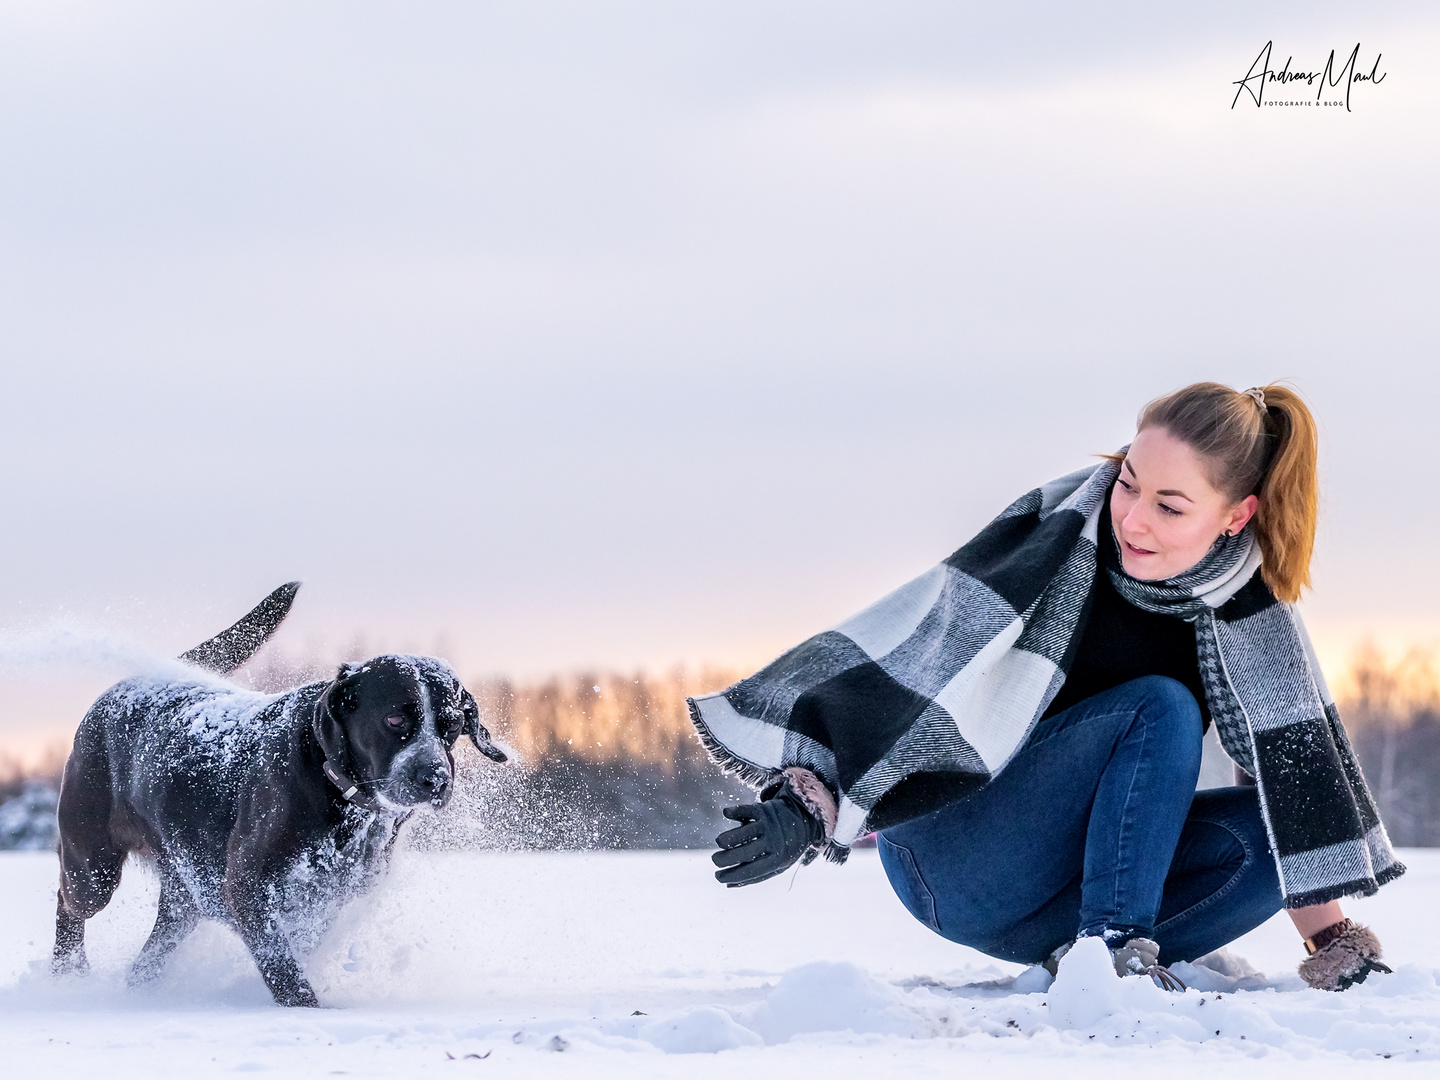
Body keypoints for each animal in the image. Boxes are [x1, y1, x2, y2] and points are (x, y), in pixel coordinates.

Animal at [52, 587, 506, 1013]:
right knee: (68, 903)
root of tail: (126, 685)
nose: (435, 778)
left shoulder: (331, 899)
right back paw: (67, 974)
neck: (335, 786)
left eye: (452, 725)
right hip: (92, 868)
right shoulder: (249, 885)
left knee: (153, 949)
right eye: (395, 719)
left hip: (185, 892)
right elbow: (280, 961)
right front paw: (304, 1008)